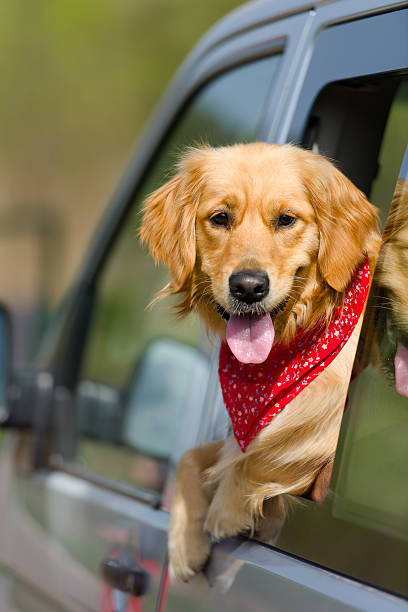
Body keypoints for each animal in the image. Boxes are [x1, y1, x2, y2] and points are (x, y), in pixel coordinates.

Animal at [139, 141, 380, 580]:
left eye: (286, 219)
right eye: (220, 218)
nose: (248, 286)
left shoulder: (326, 413)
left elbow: (269, 448)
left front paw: (228, 508)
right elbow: (195, 455)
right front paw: (184, 541)